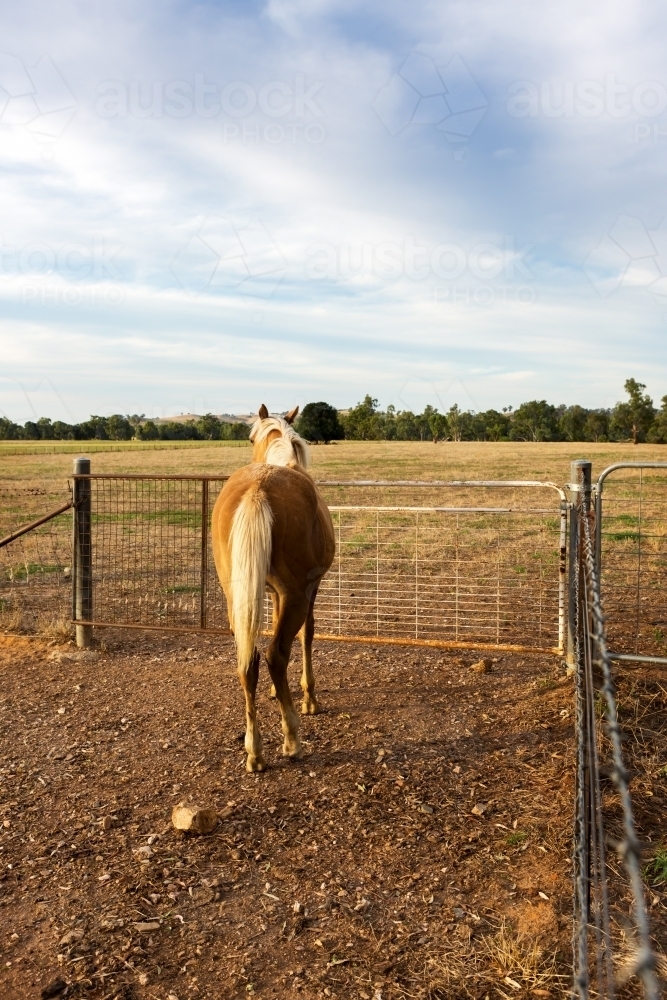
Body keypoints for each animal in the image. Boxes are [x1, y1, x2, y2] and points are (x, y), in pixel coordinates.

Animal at [211, 404, 335, 772]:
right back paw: (291, 739)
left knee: (249, 660)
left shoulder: (273, 594)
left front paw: (275, 692)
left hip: (234, 598)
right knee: (275, 655)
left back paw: (255, 751)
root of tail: (259, 487)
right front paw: (309, 697)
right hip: (297, 596)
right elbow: (307, 635)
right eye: (251, 438)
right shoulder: (308, 590)